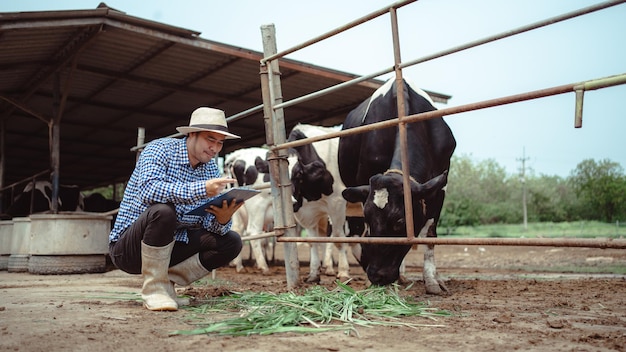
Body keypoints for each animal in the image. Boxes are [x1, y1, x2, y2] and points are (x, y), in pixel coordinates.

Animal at [286, 124, 348, 284]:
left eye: (299, 174)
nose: (292, 203)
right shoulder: (308, 212)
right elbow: (313, 241)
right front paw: (314, 274)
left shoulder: (337, 202)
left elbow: (339, 238)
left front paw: (344, 272)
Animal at [336, 77, 454, 294]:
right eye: (369, 218)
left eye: (400, 221)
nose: (376, 276)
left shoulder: (440, 188)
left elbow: (430, 234)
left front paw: (432, 280)